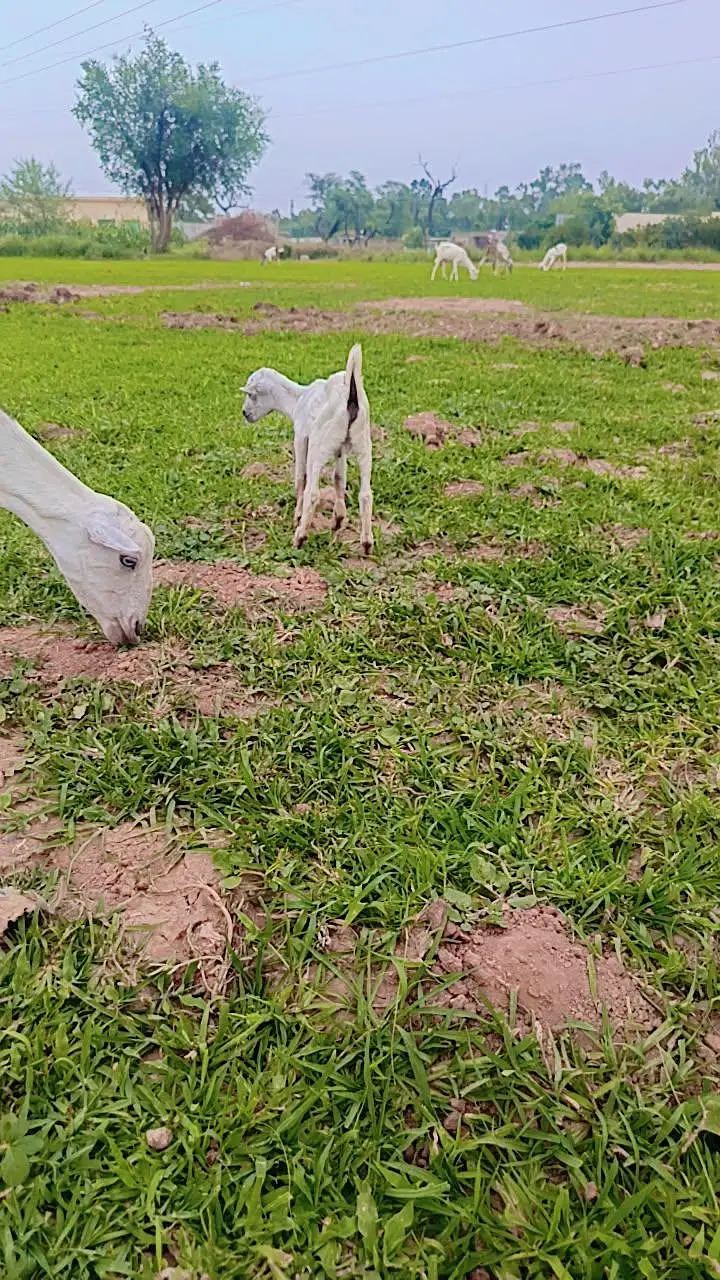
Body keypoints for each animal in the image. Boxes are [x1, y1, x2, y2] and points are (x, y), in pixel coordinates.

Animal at [241, 344, 373, 554]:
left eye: (250, 394)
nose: (245, 413)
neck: (298, 398)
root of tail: (350, 395)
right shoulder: (341, 449)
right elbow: (339, 478)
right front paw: (338, 519)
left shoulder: (301, 437)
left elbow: (300, 478)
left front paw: (297, 516)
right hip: (364, 446)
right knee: (366, 494)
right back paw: (367, 543)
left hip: (318, 447)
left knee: (313, 492)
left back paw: (300, 537)